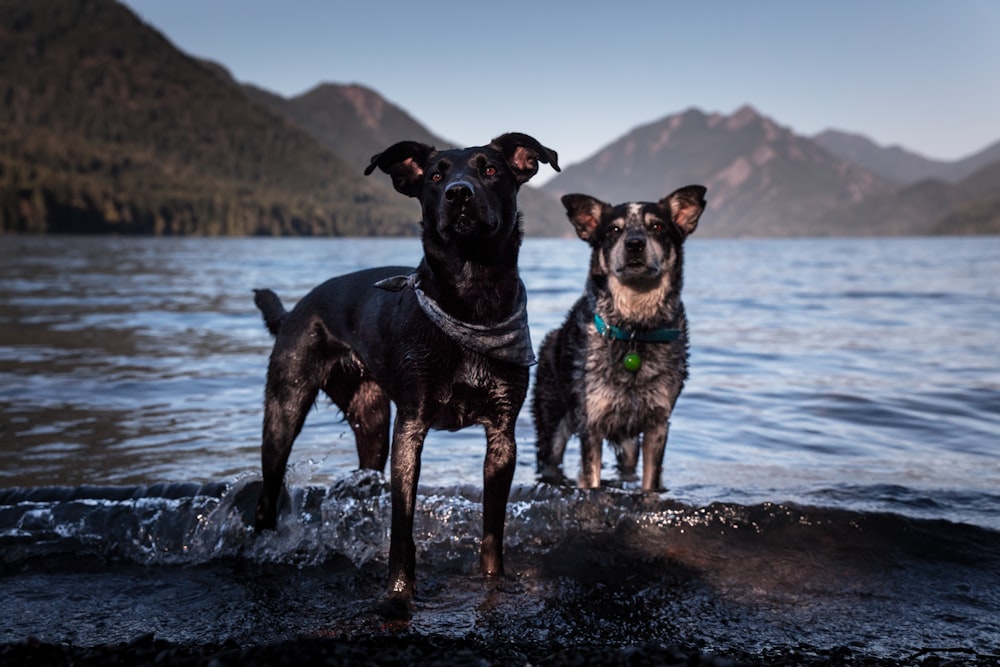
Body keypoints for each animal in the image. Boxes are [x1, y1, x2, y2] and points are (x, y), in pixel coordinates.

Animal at [250, 134, 560, 612]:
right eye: (434, 176)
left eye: (490, 170)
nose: (458, 194)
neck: (470, 300)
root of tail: (292, 313)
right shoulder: (411, 428)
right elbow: (402, 531)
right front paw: (398, 596)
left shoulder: (502, 434)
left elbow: (492, 532)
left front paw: (493, 583)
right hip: (285, 411)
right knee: (267, 498)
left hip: (373, 423)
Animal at [532, 187, 704, 490]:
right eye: (614, 229)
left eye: (657, 227)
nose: (634, 243)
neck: (634, 329)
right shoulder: (591, 423)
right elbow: (591, 479)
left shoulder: (658, 423)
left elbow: (650, 481)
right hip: (551, 424)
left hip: (628, 441)